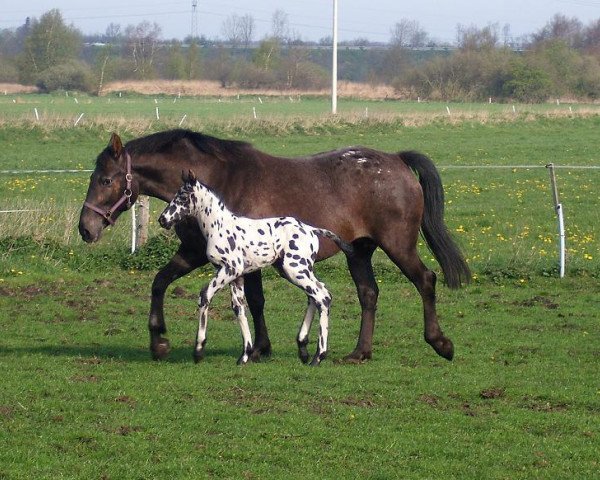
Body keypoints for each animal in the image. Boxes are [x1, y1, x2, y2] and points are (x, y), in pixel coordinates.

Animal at [157, 171, 354, 366]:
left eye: (183, 196)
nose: (163, 219)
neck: (219, 226)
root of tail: (311, 229)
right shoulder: (235, 276)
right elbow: (238, 307)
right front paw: (245, 355)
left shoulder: (229, 269)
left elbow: (205, 295)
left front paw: (198, 350)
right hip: (295, 270)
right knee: (315, 295)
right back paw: (303, 349)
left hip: (295, 269)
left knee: (322, 296)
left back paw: (318, 356)